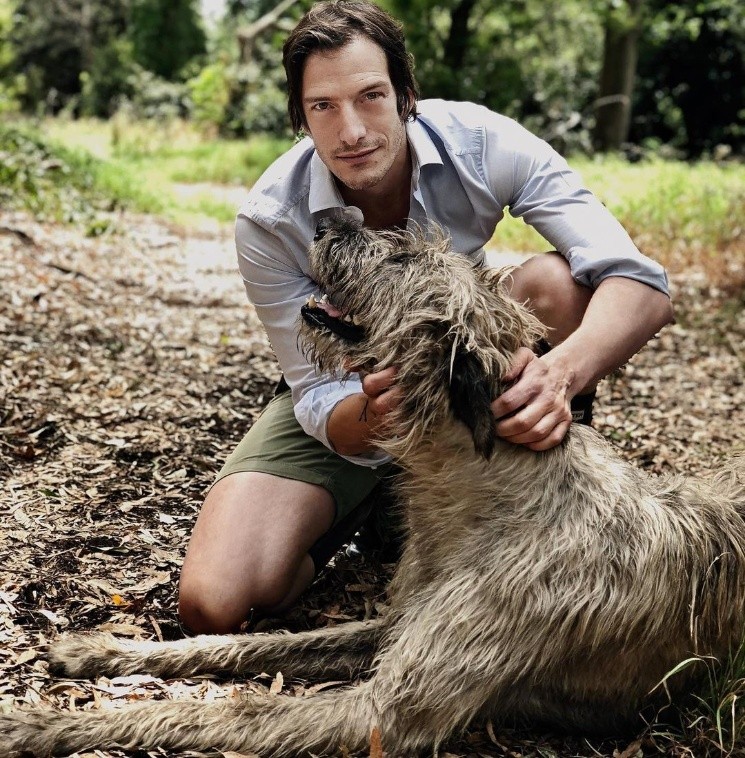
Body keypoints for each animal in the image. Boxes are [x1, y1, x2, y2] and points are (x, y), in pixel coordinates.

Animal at [1, 223, 744, 756]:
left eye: (401, 259)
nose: (332, 218)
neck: (485, 492)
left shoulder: (379, 711)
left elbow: (220, 711)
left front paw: (39, 726)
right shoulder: (391, 627)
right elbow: (246, 645)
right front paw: (102, 651)